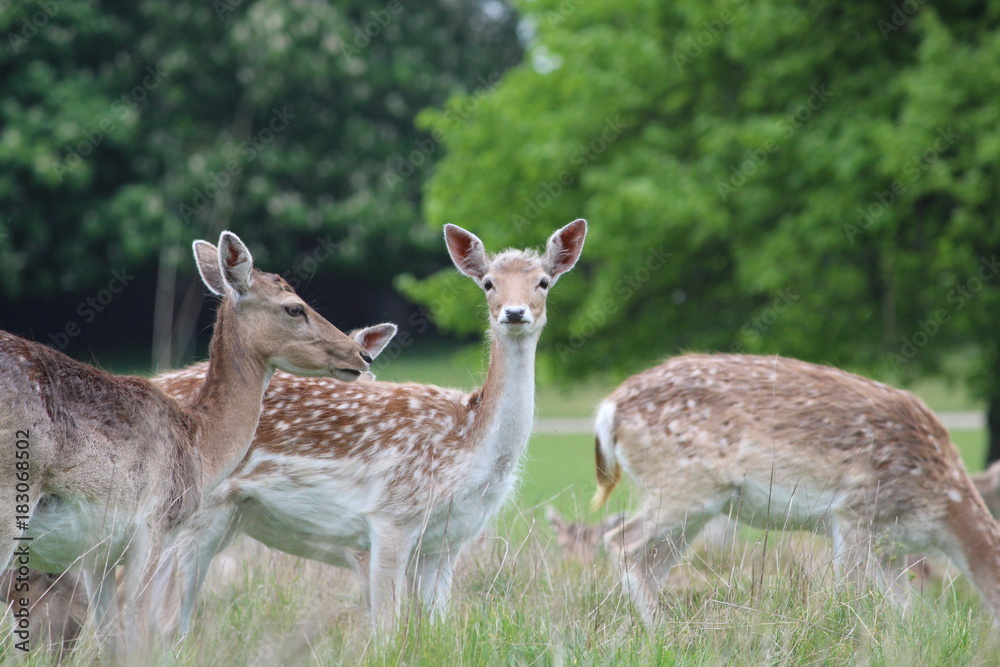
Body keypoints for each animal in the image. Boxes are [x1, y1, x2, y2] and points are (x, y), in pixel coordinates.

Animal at [0, 231, 372, 655]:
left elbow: (110, 639)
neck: (198, 442)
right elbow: (137, 634)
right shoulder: (152, 525)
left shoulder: (97, 556)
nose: (362, 354)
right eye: (295, 308)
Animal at [150, 220, 587, 635]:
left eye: (543, 281)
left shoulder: (449, 541)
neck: (469, 448)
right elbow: (386, 630)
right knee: (165, 618)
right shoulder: (390, 515)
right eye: (488, 283)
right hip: (193, 516)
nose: (514, 313)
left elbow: (439, 626)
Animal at [590, 353, 1000, 628]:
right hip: (682, 487)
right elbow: (854, 594)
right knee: (622, 541)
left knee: (652, 562)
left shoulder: (892, 549)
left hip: (695, 507)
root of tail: (608, 410)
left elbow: (907, 611)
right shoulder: (854, 513)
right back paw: (664, 631)